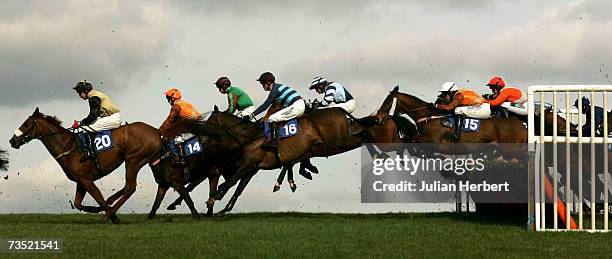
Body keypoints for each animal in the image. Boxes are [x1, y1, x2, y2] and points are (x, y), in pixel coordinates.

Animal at [8, 108, 161, 224]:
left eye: (27, 124)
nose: (12, 141)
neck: (68, 147)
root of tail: (156, 131)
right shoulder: (80, 181)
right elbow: (77, 204)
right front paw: (99, 209)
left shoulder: (87, 180)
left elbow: (98, 198)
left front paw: (111, 216)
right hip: (137, 161)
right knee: (127, 187)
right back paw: (111, 200)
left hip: (133, 160)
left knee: (130, 188)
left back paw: (108, 214)